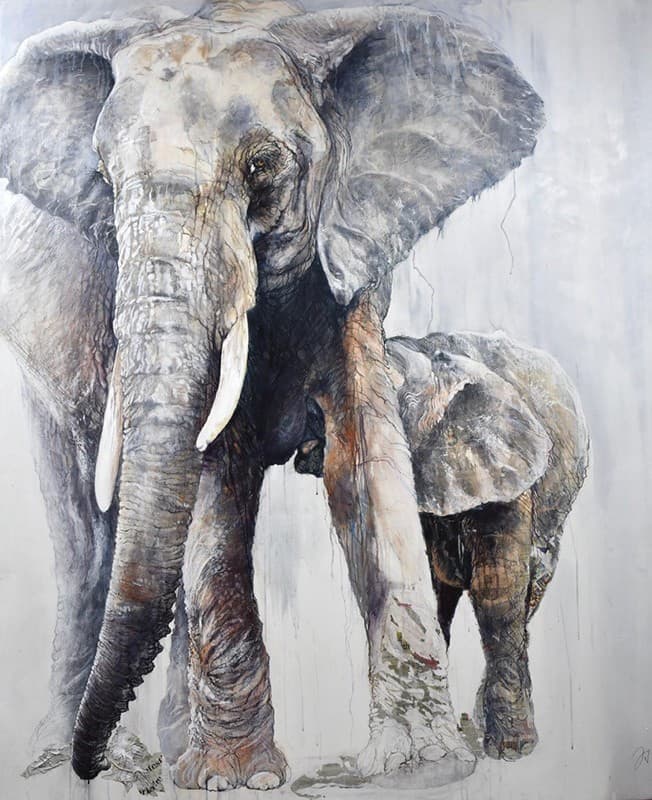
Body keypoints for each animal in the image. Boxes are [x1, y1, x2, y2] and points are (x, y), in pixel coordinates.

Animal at [0, 0, 544, 791]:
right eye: (101, 176)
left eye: (261, 165)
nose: (91, 761)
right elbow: (215, 477)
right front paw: (236, 781)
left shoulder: (349, 261)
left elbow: (366, 461)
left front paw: (421, 770)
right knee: (83, 537)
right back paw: (69, 761)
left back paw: (163, 755)